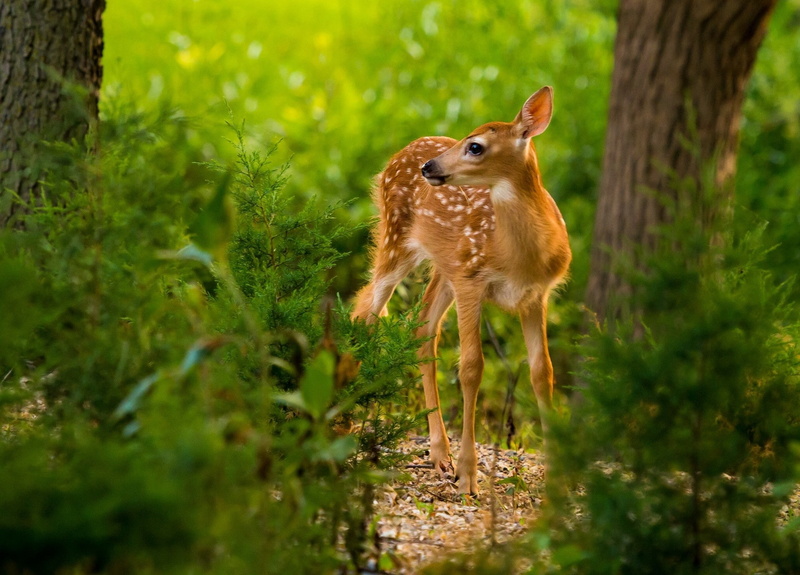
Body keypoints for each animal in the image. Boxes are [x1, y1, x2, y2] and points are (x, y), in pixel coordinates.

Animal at [352, 86, 570, 495]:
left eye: (475, 146)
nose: (429, 168)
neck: (518, 256)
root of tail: (402, 152)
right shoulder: (472, 281)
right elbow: (471, 367)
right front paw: (469, 476)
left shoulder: (536, 296)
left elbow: (542, 371)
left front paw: (557, 478)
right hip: (395, 239)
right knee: (366, 311)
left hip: (444, 266)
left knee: (421, 327)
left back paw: (440, 453)